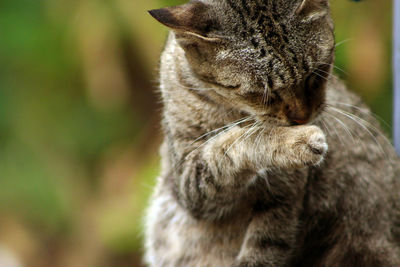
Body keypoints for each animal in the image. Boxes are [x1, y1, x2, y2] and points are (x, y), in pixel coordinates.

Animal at [144, 1, 400, 266]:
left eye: (316, 73)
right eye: (262, 93)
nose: (301, 118)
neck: (230, 110)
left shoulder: (284, 198)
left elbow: (266, 246)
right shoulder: (189, 181)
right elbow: (234, 145)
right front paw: (295, 141)